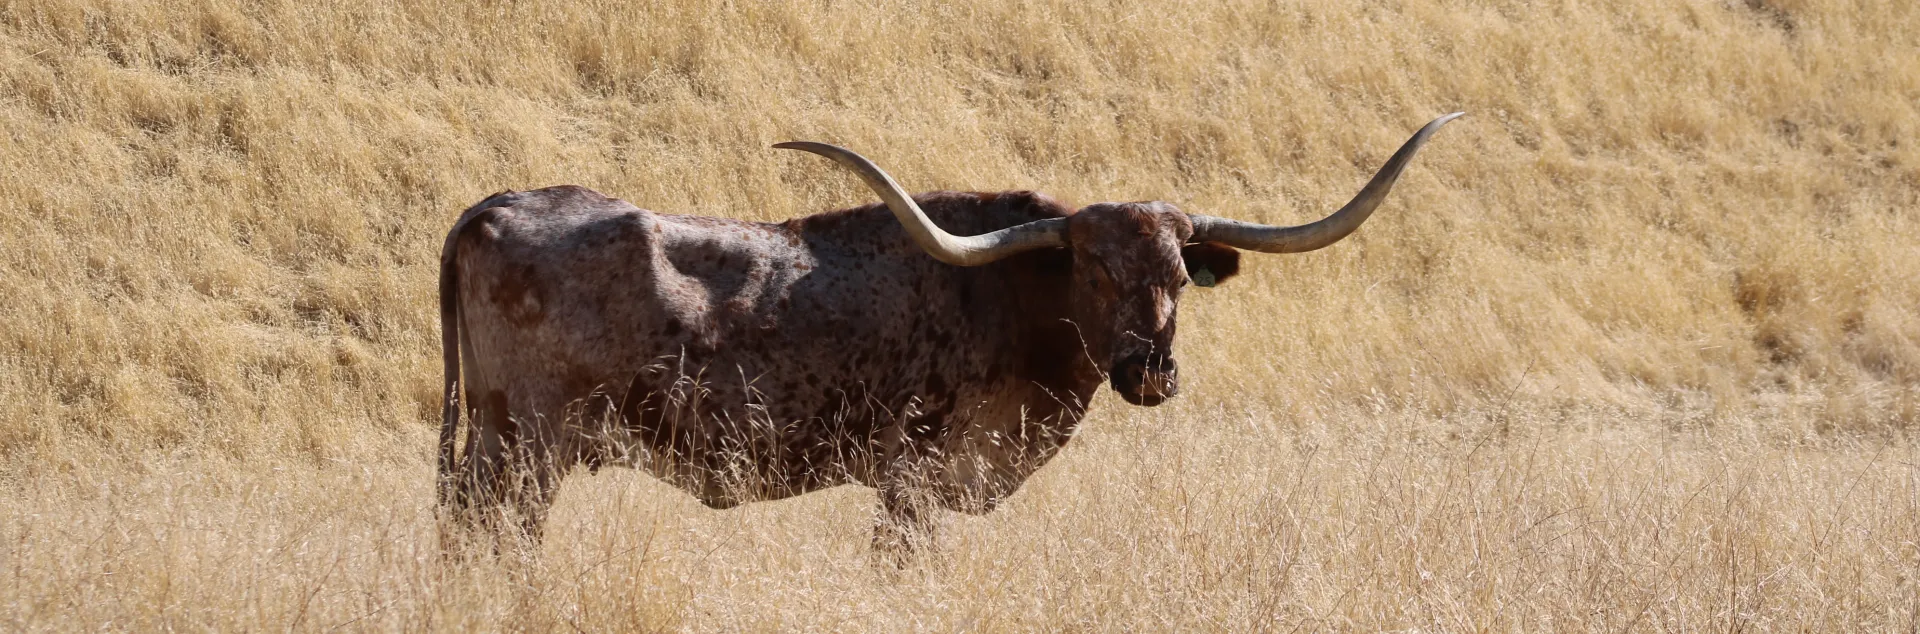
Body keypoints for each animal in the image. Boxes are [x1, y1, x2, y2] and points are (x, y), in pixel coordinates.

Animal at [437, 113, 1463, 553]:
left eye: (1179, 278)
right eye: (1094, 272)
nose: (1150, 372)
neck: (1015, 302)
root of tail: (496, 205)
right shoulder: (918, 480)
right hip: (521, 451)